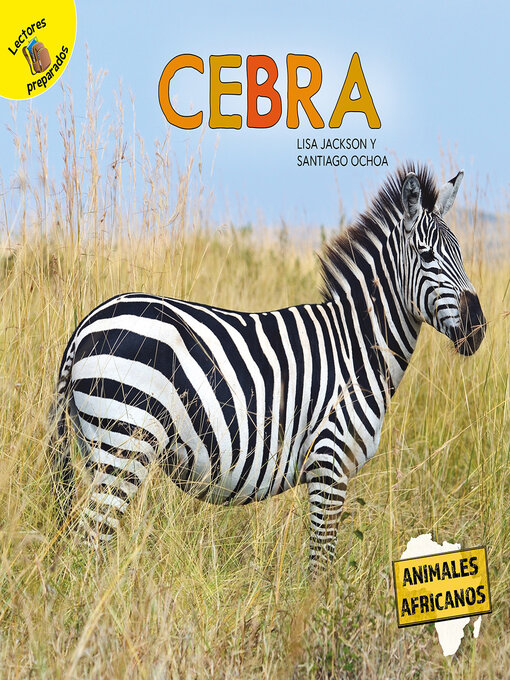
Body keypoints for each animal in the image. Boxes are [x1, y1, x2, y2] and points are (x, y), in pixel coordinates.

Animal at [49, 164, 486, 573]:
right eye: (427, 256)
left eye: (462, 253)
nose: (477, 328)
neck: (357, 346)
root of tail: (86, 324)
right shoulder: (329, 462)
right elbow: (321, 565)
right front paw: (319, 607)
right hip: (125, 443)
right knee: (90, 542)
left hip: (97, 447)